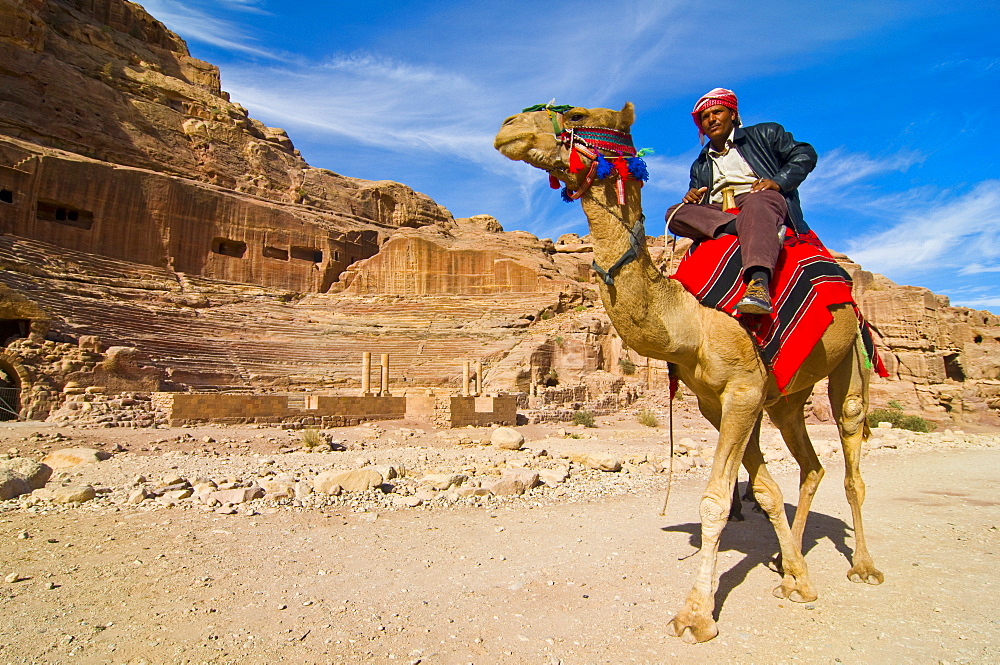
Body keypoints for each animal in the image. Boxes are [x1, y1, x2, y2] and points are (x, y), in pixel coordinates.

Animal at [494, 104, 884, 644]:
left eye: (575, 114)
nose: (507, 126)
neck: (691, 320)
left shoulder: (743, 389)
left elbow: (716, 501)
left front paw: (696, 614)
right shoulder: (718, 401)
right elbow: (766, 491)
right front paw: (799, 580)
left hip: (848, 357)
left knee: (851, 454)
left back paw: (864, 565)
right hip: (786, 396)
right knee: (811, 466)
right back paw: (787, 563)